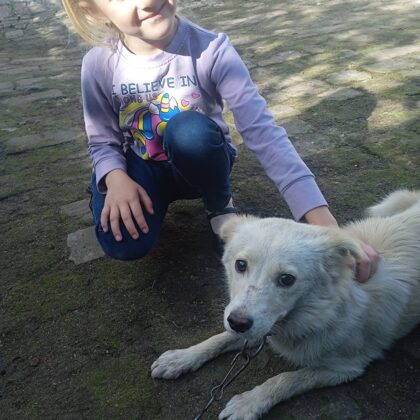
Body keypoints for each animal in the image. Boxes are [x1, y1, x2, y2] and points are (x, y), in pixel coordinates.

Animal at [151, 190, 420, 420]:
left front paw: (248, 402)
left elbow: (286, 379)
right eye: (240, 265)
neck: (321, 311)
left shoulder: (346, 368)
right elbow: (220, 338)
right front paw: (181, 359)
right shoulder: (255, 325)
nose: (238, 323)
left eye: (287, 279)